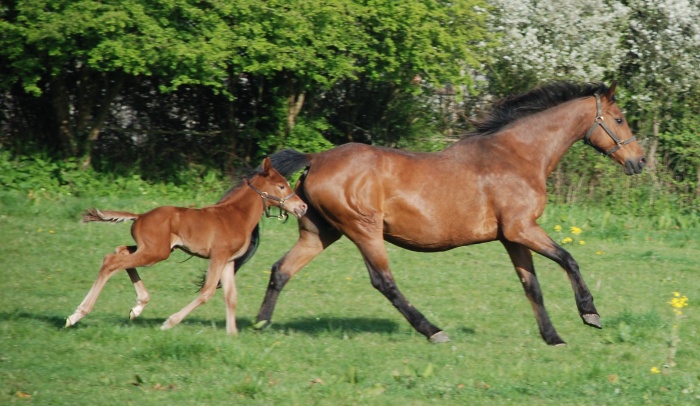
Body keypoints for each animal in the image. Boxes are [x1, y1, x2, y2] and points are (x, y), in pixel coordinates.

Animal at [66, 157, 306, 334]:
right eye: (282, 185)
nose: (302, 206)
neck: (236, 215)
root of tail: (140, 216)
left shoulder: (229, 261)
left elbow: (231, 296)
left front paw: (232, 335)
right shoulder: (218, 256)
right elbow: (207, 291)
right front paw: (169, 322)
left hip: (152, 249)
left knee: (120, 251)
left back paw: (138, 307)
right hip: (156, 253)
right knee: (112, 261)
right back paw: (76, 315)